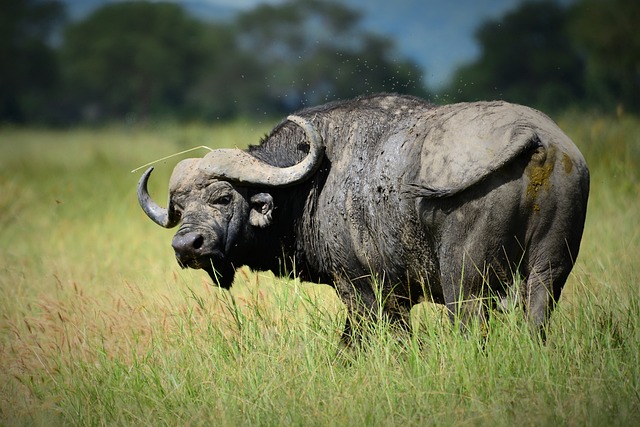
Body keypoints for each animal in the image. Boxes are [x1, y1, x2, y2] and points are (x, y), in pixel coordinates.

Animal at [139, 94, 592, 344]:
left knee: (468, 323)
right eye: (180, 206)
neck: (314, 182)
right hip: (550, 268)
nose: (186, 246)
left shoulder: (364, 290)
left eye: (222, 197)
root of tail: (535, 135)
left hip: (464, 278)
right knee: (538, 315)